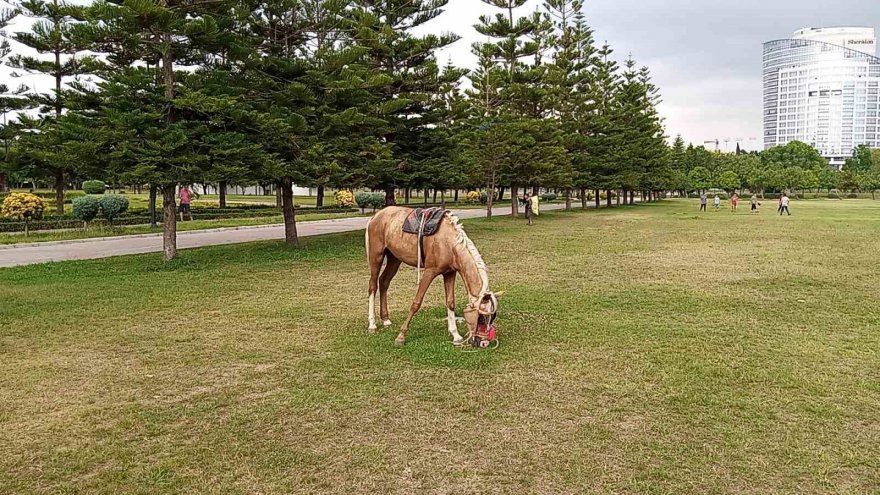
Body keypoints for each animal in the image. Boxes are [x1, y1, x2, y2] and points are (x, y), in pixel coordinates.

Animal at [366, 207, 502, 346]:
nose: (484, 343)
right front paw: (401, 336)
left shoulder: (449, 273)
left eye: (492, 318)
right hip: (376, 256)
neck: (448, 243)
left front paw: (456, 335)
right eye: (481, 319)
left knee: (384, 282)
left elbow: (450, 302)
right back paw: (372, 324)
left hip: (394, 259)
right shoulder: (429, 272)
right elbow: (416, 302)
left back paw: (386, 319)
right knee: (373, 286)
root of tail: (377, 215)